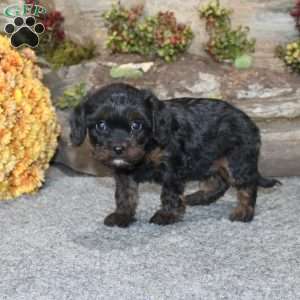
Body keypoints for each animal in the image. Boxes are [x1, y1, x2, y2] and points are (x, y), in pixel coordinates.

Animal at [69, 82, 280, 227]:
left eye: (136, 125)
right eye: (101, 125)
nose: (118, 148)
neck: (148, 146)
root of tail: (250, 122)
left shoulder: (171, 168)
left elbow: (169, 193)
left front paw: (167, 215)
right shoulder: (124, 173)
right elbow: (125, 194)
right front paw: (123, 215)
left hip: (236, 160)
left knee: (247, 185)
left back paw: (244, 211)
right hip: (208, 159)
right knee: (218, 182)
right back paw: (198, 198)